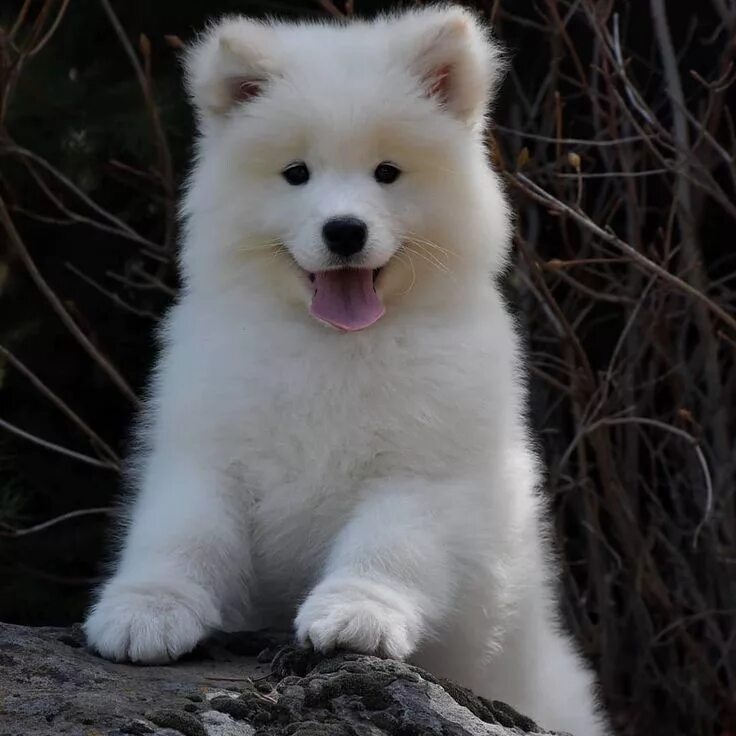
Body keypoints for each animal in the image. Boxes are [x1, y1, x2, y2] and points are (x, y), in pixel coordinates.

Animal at [83, 7, 608, 736]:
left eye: (387, 172)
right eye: (296, 173)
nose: (344, 231)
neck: (333, 344)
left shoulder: (425, 472)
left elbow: (386, 547)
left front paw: (357, 614)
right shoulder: (208, 450)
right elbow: (181, 533)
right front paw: (146, 609)